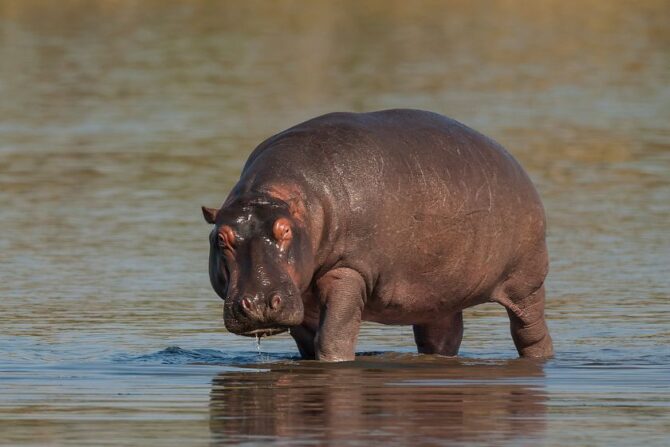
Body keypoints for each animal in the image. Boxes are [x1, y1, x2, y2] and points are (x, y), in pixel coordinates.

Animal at [202, 109, 553, 361]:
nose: (260, 302)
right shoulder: (300, 296)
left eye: (284, 230)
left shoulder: (348, 270)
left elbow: (333, 338)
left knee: (531, 332)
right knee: (441, 336)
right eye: (220, 238)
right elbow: (310, 346)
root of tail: (513, 161)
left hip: (526, 284)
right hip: (437, 296)